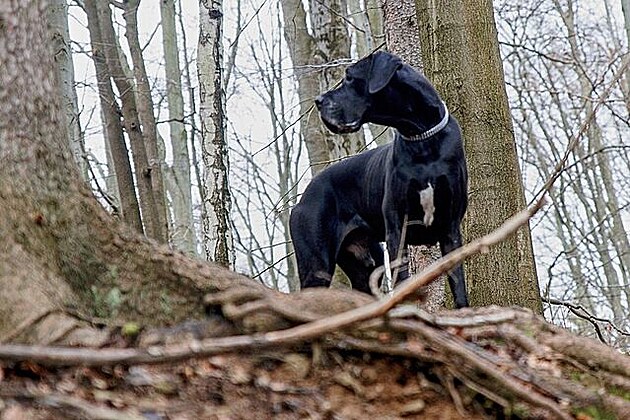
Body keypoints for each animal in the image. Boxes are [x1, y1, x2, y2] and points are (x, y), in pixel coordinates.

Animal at [292, 51, 470, 308]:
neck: (422, 138)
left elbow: (458, 285)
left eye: (349, 77)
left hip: (365, 263)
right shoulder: (396, 229)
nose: (318, 100)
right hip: (316, 265)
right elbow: (403, 283)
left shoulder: (450, 229)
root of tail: (303, 198)